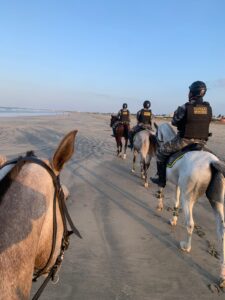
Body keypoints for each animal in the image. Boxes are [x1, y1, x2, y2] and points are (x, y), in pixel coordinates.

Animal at [155, 122, 225, 288]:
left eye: (156, 134)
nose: (156, 143)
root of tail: (212, 162)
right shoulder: (178, 185)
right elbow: (175, 201)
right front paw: (173, 219)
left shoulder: (169, 182)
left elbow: (161, 187)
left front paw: (160, 206)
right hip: (217, 203)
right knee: (222, 233)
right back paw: (222, 276)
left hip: (189, 198)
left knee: (190, 224)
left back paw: (186, 247)